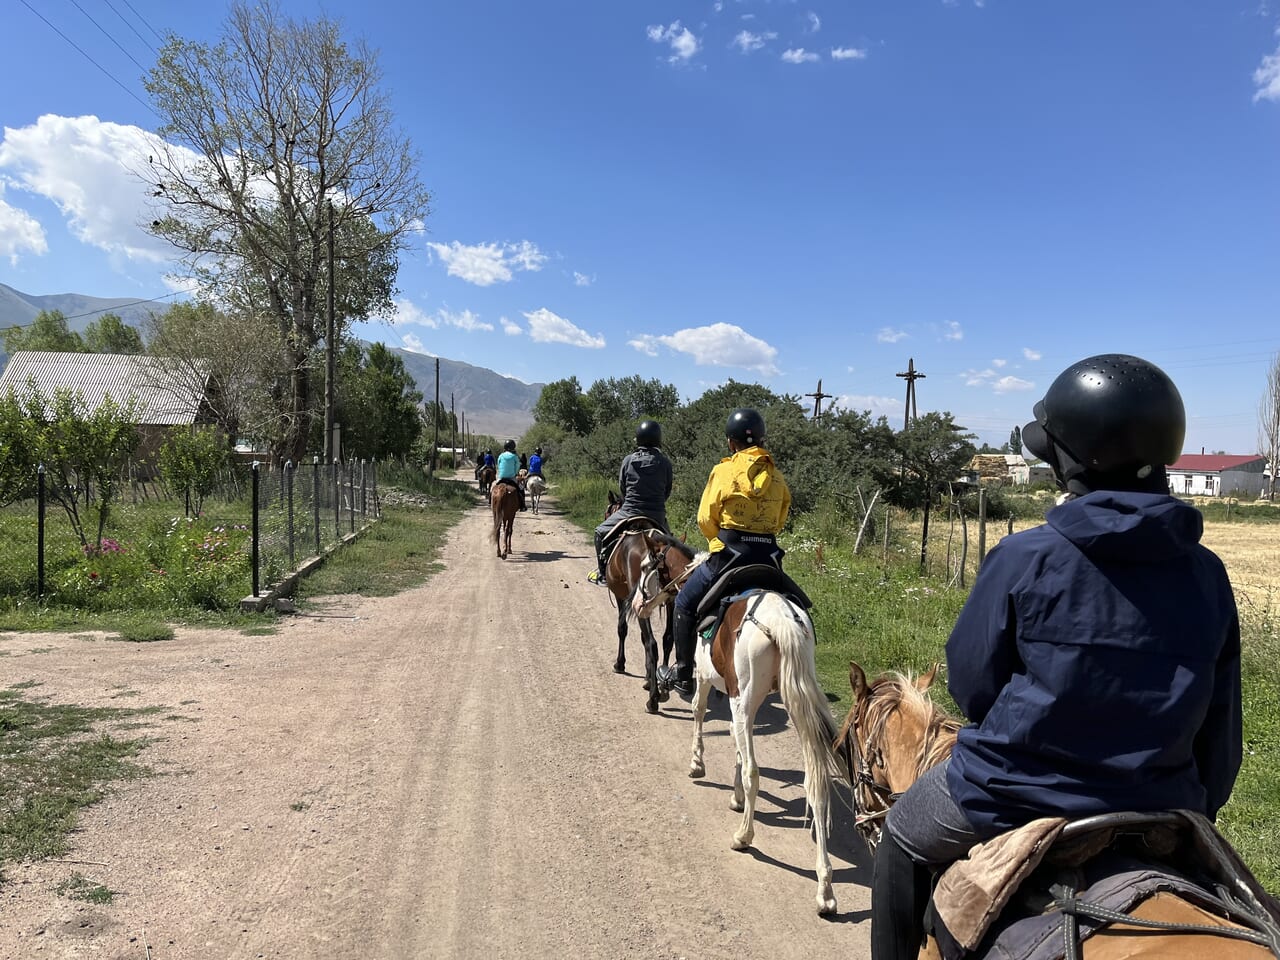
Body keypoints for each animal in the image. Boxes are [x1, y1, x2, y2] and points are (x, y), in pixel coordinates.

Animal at [627, 545, 844, 921]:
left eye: (644, 567)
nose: (639, 605)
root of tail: (781, 618)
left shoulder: (704, 678)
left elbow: (699, 713)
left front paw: (697, 764)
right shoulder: (733, 697)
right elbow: (735, 742)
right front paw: (735, 797)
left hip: (749, 696)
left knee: (755, 771)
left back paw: (744, 836)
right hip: (793, 700)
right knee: (814, 784)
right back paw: (825, 891)